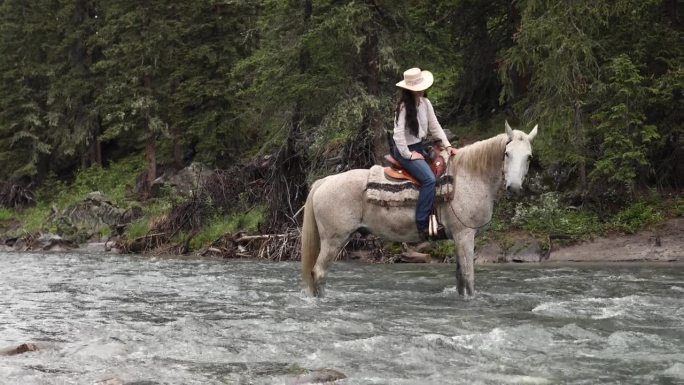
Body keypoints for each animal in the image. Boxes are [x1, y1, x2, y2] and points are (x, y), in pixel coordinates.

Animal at [302, 121, 536, 296]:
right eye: (507, 153)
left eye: (529, 157)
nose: (514, 187)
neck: (469, 177)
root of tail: (324, 181)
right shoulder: (465, 235)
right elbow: (469, 279)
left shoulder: (458, 237)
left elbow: (460, 279)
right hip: (333, 240)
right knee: (319, 273)